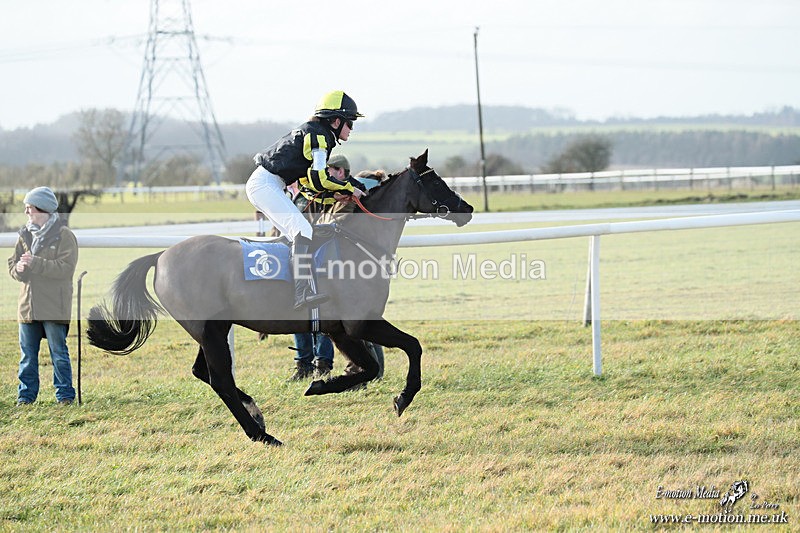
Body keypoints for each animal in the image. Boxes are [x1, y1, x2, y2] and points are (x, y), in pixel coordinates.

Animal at [87, 150, 474, 445]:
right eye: (435, 182)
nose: (467, 208)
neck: (359, 244)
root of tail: (161, 256)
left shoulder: (340, 330)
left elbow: (368, 367)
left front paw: (322, 384)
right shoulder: (360, 322)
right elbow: (410, 347)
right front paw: (401, 397)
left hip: (209, 330)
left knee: (204, 373)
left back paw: (256, 415)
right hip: (209, 329)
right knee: (220, 380)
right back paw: (261, 434)